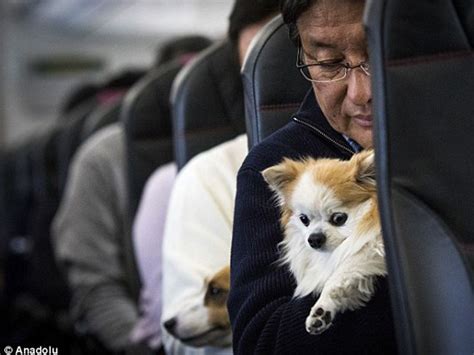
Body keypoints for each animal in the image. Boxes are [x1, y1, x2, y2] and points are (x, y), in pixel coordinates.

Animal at [262, 152, 386, 336]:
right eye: (304, 219)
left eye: (339, 218)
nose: (314, 239)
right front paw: (323, 311)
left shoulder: (372, 247)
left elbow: (342, 271)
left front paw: (321, 306)